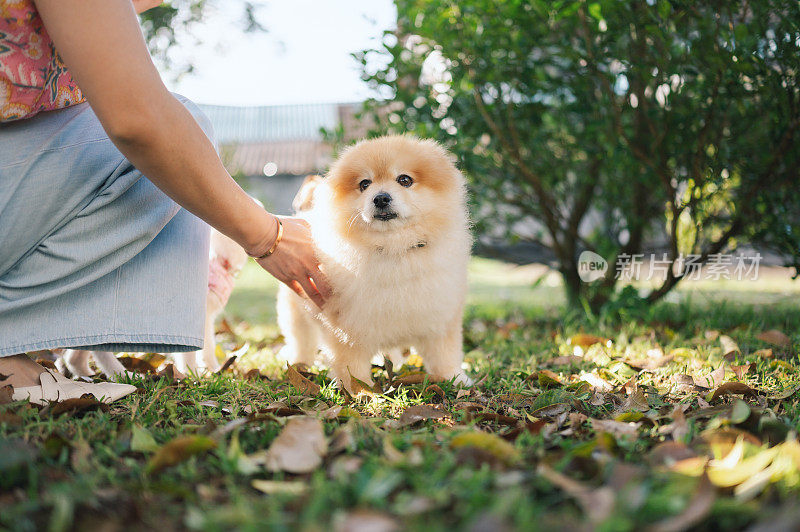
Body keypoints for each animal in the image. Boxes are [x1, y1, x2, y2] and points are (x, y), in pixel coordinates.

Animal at [278, 135, 472, 392]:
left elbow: (445, 354)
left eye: (404, 180)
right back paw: (299, 363)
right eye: (364, 184)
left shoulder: (440, 317)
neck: (395, 249)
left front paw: (455, 378)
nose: (380, 197)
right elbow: (351, 365)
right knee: (301, 339)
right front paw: (361, 391)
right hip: (297, 310)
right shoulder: (346, 328)